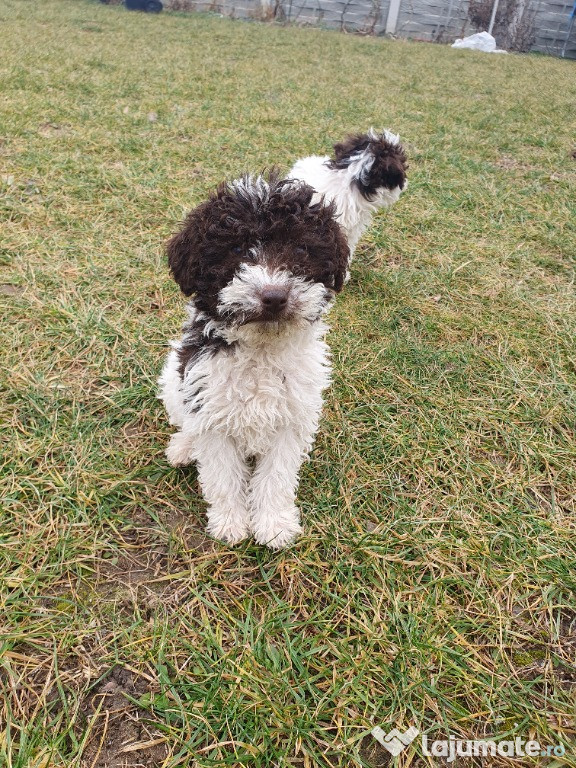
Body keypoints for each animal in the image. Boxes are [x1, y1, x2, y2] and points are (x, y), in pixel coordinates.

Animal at [158, 172, 348, 548]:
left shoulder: (292, 420)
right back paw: (184, 447)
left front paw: (274, 524)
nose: (274, 296)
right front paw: (230, 523)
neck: (260, 348)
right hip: (173, 378)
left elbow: (277, 476)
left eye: (301, 249)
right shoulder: (211, 413)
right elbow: (222, 475)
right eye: (235, 250)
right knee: (185, 422)